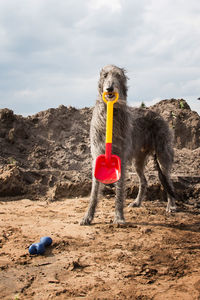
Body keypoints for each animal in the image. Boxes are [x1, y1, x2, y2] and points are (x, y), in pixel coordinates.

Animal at [80, 65, 177, 225]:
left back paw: (171, 205)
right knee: (144, 181)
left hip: (163, 153)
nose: (109, 89)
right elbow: (94, 191)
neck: (111, 114)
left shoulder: (121, 158)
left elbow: (119, 189)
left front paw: (119, 217)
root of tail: (157, 113)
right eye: (105, 75)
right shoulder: (97, 156)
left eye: (118, 76)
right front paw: (88, 216)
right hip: (138, 160)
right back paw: (137, 202)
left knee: (167, 180)